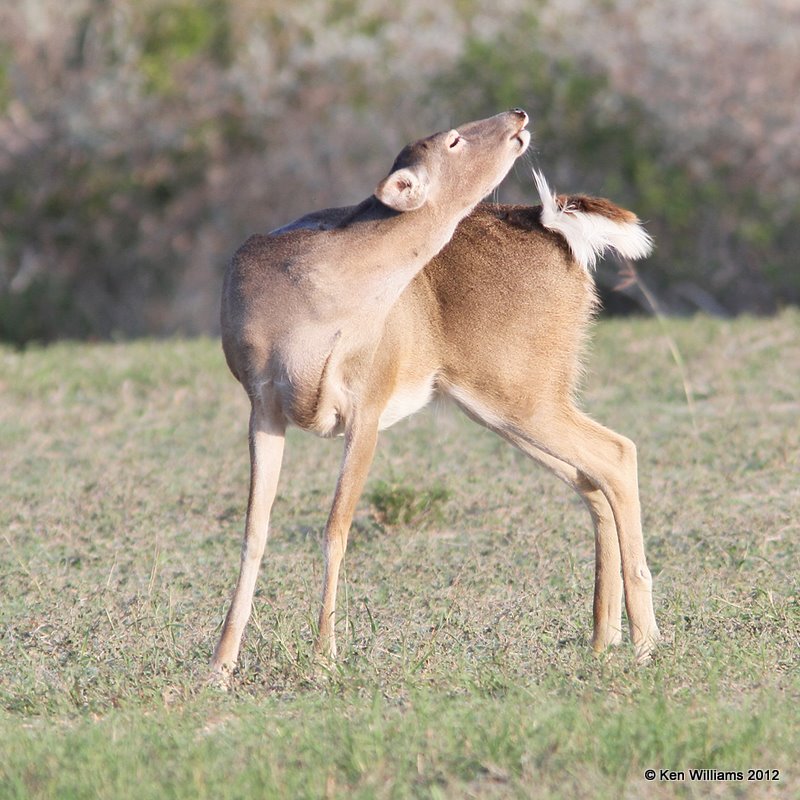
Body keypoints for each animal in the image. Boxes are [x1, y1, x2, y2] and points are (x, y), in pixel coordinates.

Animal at [209, 109, 660, 684]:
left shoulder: (369, 401)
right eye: (453, 139)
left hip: (525, 391)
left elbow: (335, 529)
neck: (313, 307)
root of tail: (555, 227)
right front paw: (220, 665)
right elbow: (255, 531)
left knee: (617, 453)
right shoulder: (261, 404)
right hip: (506, 402)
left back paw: (646, 643)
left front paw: (324, 658)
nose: (518, 114)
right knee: (593, 480)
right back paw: (604, 640)